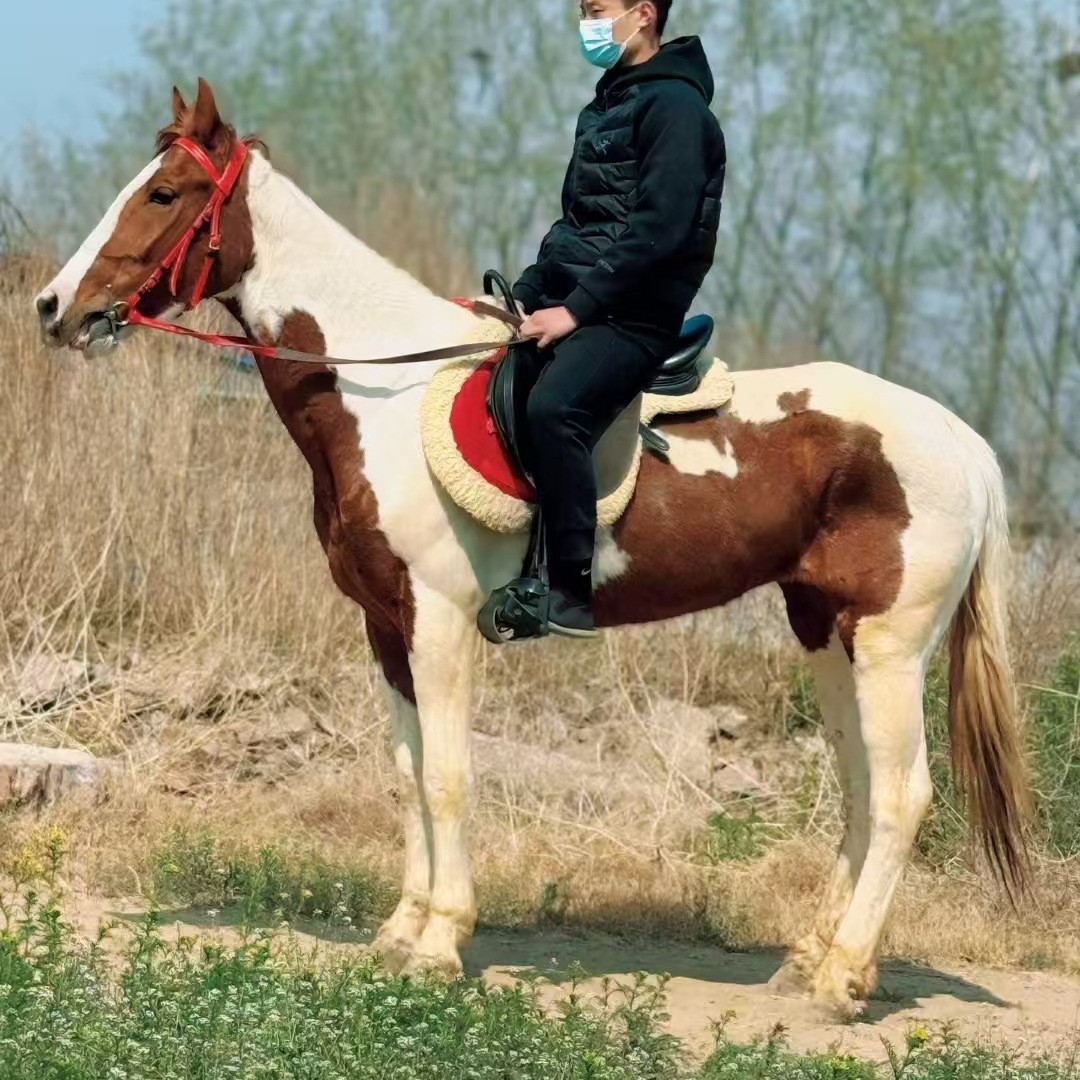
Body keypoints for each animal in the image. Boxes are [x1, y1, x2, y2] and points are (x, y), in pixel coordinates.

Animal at [33, 78, 1029, 1018]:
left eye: (163, 192)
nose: (54, 306)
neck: (380, 391)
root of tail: (958, 438)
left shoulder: (440, 623)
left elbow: (448, 777)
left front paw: (441, 945)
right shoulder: (387, 628)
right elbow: (409, 773)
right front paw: (401, 932)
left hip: (890, 645)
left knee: (901, 796)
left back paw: (841, 981)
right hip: (828, 635)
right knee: (860, 789)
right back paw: (810, 964)